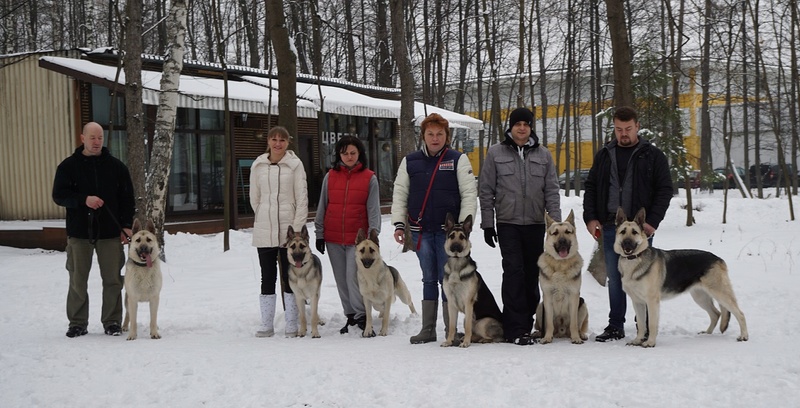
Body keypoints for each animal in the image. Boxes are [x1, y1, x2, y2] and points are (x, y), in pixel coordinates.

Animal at [536, 210, 592, 344]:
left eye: (567, 232)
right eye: (555, 233)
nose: (562, 241)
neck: (560, 265)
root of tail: (561, 332)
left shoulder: (574, 296)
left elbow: (573, 323)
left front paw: (576, 338)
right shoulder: (547, 297)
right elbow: (549, 323)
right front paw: (547, 337)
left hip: (582, 304)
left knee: (578, 326)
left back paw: (580, 334)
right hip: (540, 307)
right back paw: (539, 333)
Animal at [612, 207, 752, 348]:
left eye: (634, 232)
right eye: (623, 232)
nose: (627, 243)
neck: (633, 260)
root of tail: (718, 259)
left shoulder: (652, 302)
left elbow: (651, 324)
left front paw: (650, 343)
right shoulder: (638, 302)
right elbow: (641, 324)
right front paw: (637, 340)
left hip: (720, 294)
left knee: (740, 313)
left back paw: (744, 336)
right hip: (700, 297)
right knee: (716, 314)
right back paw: (707, 334)